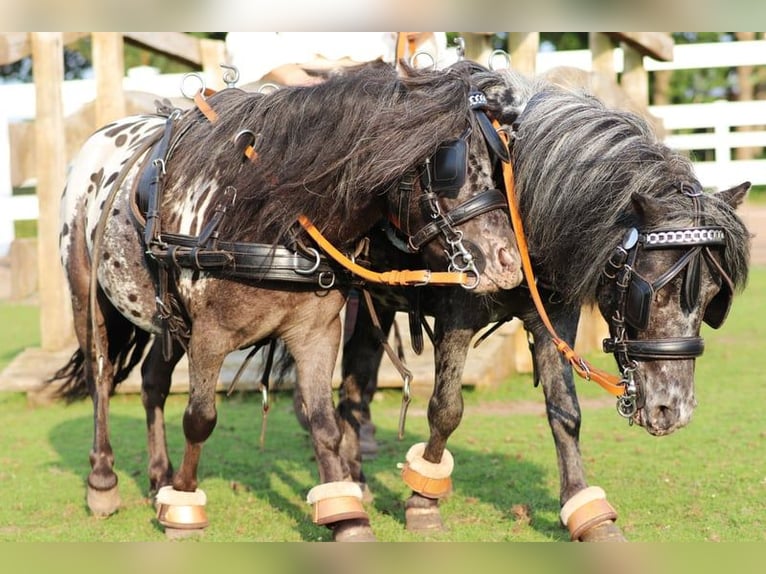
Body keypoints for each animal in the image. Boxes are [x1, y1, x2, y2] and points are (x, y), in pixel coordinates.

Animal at [51, 60, 528, 541]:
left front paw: (347, 516)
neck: (272, 217)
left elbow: (324, 422)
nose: (509, 261)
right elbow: (200, 419)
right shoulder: (209, 336)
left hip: (168, 320)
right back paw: (103, 481)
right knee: (100, 378)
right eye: (451, 163)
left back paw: (158, 477)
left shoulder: (316, 332)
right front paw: (184, 509)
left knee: (152, 382)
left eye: (500, 161)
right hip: (86, 297)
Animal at [337, 80, 752, 541]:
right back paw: (352, 482)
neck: (517, 201)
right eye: (652, 294)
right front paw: (422, 501)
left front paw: (586, 510)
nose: (673, 410)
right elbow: (446, 410)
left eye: (713, 299)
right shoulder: (456, 317)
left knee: (357, 380)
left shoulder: (555, 319)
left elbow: (565, 411)